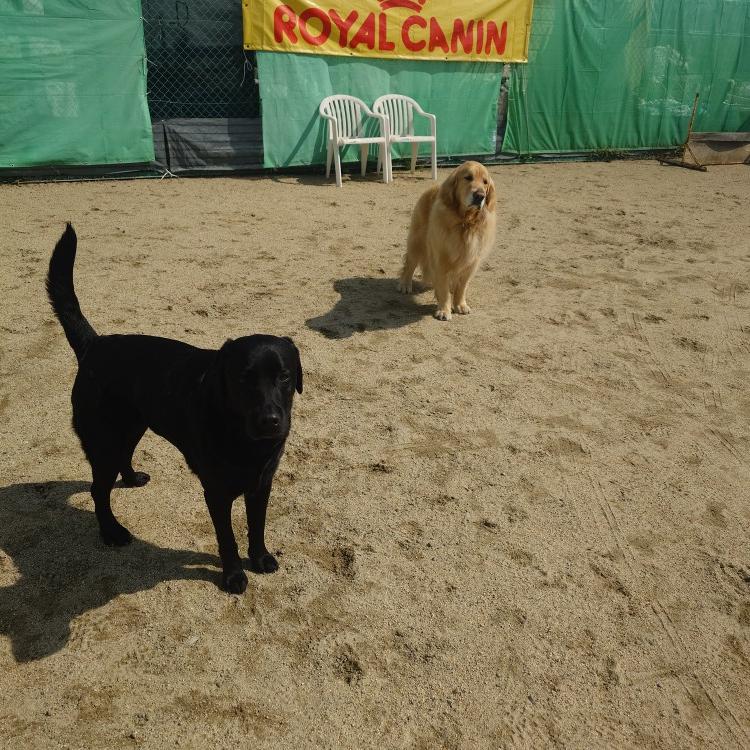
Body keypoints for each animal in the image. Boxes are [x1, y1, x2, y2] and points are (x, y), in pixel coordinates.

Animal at [46, 224, 302, 594]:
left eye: (284, 376)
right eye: (243, 379)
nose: (270, 421)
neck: (241, 437)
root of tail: (94, 344)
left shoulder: (261, 484)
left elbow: (257, 527)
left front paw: (261, 558)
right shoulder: (217, 492)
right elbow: (227, 539)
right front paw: (233, 575)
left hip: (132, 425)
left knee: (123, 458)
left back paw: (132, 479)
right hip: (103, 438)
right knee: (98, 489)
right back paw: (112, 532)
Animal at [399, 160, 496, 321]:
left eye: (485, 182)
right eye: (468, 177)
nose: (480, 196)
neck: (465, 222)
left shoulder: (471, 262)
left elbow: (462, 286)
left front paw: (460, 305)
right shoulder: (440, 259)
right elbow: (443, 289)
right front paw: (444, 310)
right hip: (417, 242)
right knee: (409, 265)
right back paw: (405, 285)